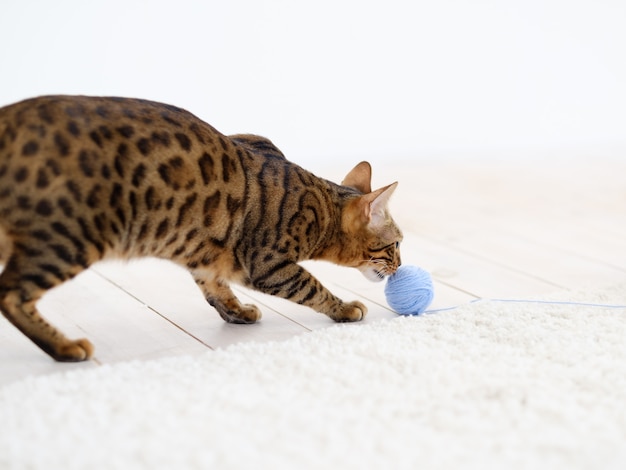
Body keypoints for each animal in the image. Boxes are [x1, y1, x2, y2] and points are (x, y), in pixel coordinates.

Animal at [0, 94, 400, 360]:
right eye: (396, 245)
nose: (399, 267)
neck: (322, 206)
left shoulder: (205, 249)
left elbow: (214, 285)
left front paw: (237, 311)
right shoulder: (268, 263)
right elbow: (312, 287)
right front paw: (345, 309)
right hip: (69, 237)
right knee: (10, 295)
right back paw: (66, 347)